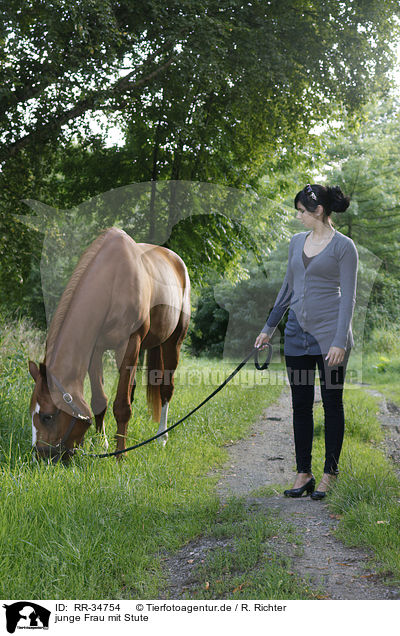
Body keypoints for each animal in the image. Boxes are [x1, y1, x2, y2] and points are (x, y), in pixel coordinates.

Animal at [28, 229, 191, 462]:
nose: (39, 458)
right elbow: (99, 400)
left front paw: (120, 455)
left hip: (173, 341)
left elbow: (122, 405)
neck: (113, 282)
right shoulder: (95, 349)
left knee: (166, 389)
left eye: (47, 416)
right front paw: (103, 443)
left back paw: (161, 437)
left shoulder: (129, 345)